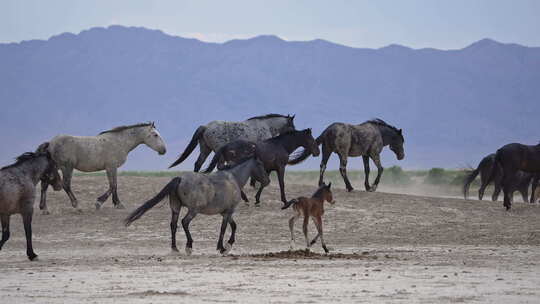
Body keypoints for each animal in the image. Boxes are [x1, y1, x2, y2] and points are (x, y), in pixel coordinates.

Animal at [39, 121, 167, 211]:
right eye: (155, 135)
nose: (164, 150)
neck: (119, 142)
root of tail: (51, 143)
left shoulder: (112, 168)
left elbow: (114, 185)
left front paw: (117, 204)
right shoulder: (111, 167)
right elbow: (113, 185)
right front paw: (99, 203)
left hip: (54, 168)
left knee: (45, 185)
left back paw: (44, 208)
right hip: (67, 168)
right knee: (66, 185)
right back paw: (77, 205)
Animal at [124, 158, 268, 255]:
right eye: (260, 164)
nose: (267, 180)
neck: (233, 179)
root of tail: (180, 179)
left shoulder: (225, 212)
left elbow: (233, 226)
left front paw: (228, 245)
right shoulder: (229, 211)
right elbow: (224, 228)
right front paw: (222, 248)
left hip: (175, 208)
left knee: (173, 225)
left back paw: (175, 248)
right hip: (193, 210)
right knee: (184, 222)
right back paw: (189, 246)